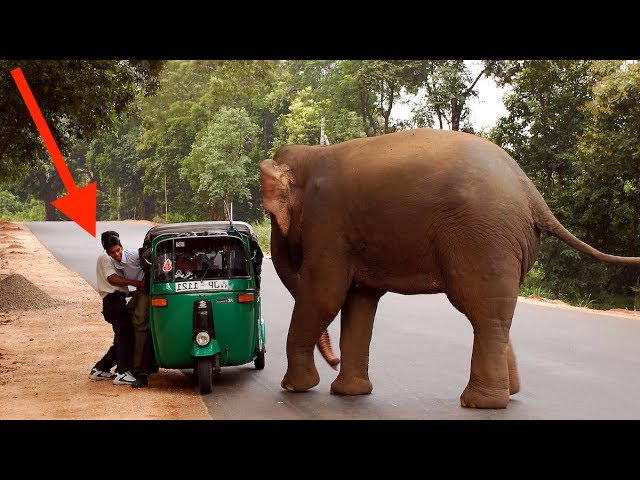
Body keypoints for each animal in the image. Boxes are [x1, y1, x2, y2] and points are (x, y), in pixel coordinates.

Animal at [258, 127, 640, 408]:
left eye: (270, 215)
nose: (333, 360)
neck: (310, 155)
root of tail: (532, 194)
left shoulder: (328, 223)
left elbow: (325, 294)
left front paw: (296, 388)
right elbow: (359, 301)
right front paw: (349, 393)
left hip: (481, 237)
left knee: (480, 308)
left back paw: (479, 403)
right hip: (500, 241)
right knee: (496, 312)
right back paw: (509, 393)